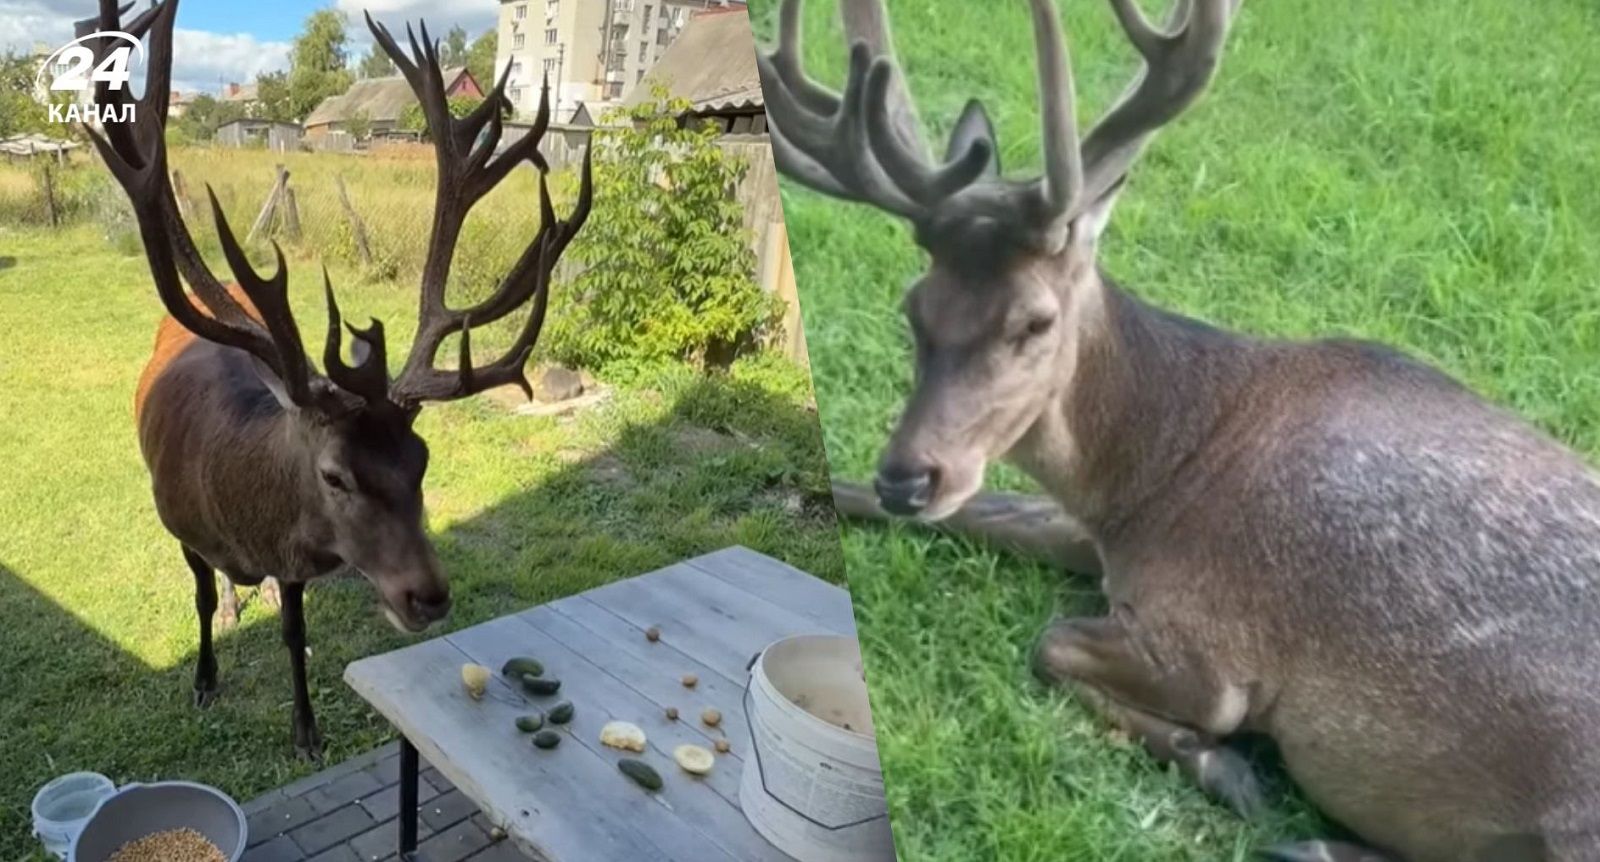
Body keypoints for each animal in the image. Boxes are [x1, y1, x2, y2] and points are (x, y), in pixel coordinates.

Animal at [87, 0, 591, 761]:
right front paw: (204, 678)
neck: (243, 523)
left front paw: (305, 730)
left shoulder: (293, 559)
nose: (428, 595)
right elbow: (199, 597)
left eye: (422, 460)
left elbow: (295, 634)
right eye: (334, 475)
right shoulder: (175, 520)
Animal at [761, 1, 1600, 860]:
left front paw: (1224, 765)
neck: (1161, 464)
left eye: (1035, 321)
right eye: (914, 306)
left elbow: (1051, 643)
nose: (908, 475)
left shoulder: (1212, 656)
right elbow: (981, 517)